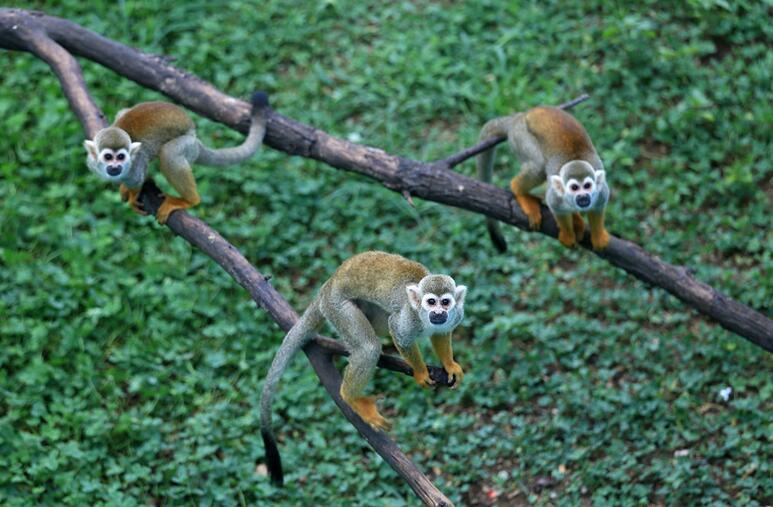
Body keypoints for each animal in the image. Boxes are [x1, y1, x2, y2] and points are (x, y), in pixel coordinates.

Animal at [84, 91, 270, 224]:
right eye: (108, 157)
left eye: (121, 157)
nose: (116, 167)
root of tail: (195, 137)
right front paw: (126, 187)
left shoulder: (135, 163)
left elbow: (137, 178)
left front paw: (132, 195)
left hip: (188, 145)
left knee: (169, 154)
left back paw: (190, 200)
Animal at [260, 252, 468, 486]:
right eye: (431, 302)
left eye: (445, 302)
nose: (438, 313)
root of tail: (327, 285)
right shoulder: (409, 317)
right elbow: (399, 333)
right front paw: (421, 372)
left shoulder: (456, 315)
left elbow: (441, 333)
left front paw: (449, 364)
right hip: (337, 308)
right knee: (369, 347)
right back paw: (350, 396)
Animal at [476, 105, 608, 252]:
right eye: (574, 188)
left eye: (587, 186)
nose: (583, 196)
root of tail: (518, 117)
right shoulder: (556, 196)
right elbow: (555, 206)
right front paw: (568, 234)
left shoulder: (601, 191)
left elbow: (598, 206)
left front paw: (598, 235)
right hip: (520, 137)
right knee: (539, 166)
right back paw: (519, 192)